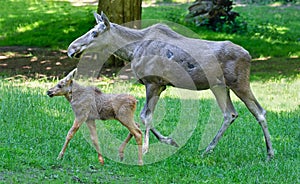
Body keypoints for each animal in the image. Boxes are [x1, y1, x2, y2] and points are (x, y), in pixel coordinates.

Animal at [68, 12, 274, 160]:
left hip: (240, 83)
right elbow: (144, 117)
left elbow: (145, 116)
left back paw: (270, 153)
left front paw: (146, 149)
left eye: (95, 33)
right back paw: (208, 149)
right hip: (219, 86)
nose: (71, 49)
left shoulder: (152, 82)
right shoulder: (161, 86)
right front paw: (169, 140)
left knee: (259, 111)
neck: (131, 50)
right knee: (230, 114)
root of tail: (249, 55)